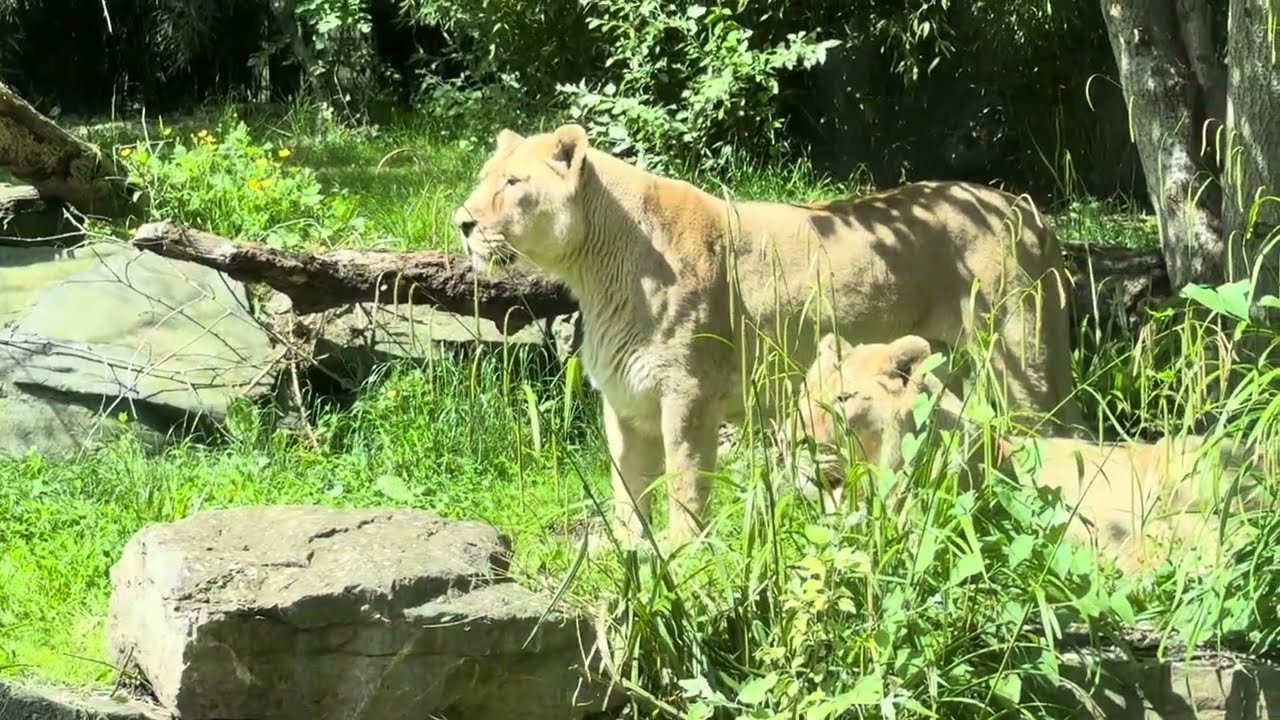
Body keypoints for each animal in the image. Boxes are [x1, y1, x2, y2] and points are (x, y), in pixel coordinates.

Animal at [452, 123, 1086, 549]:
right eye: (484, 180)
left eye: (513, 183)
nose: (462, 223)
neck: (594, 271)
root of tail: (1028, 208)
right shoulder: (625, 404)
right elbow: (627, 490)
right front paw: (632, 556)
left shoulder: (689, 395)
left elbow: (685, 484)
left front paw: (683, 555)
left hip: (1021, 363)